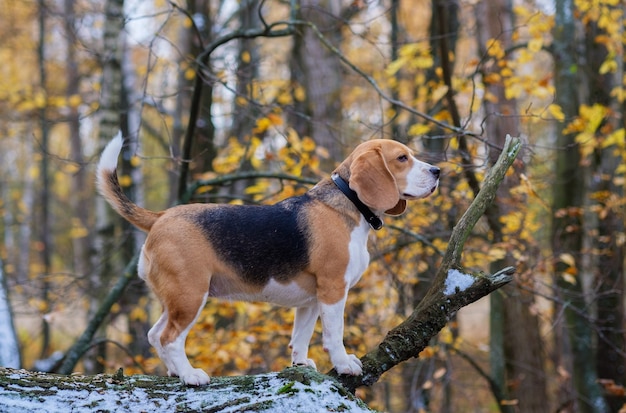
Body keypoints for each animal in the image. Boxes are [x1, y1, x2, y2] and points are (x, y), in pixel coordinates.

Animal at [97, 134, 438, 384]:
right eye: (402, 158)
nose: (437, 171)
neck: (347, 201)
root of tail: (161, 216)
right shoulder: (332, 289)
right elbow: (334, 334)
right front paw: (344, 364)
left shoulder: (311, 299)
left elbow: (300, 337)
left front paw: (301, 365)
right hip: (190, 294)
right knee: (169, 337)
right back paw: (190, 376)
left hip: (176, 298)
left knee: (156, 335)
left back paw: (174, 371)